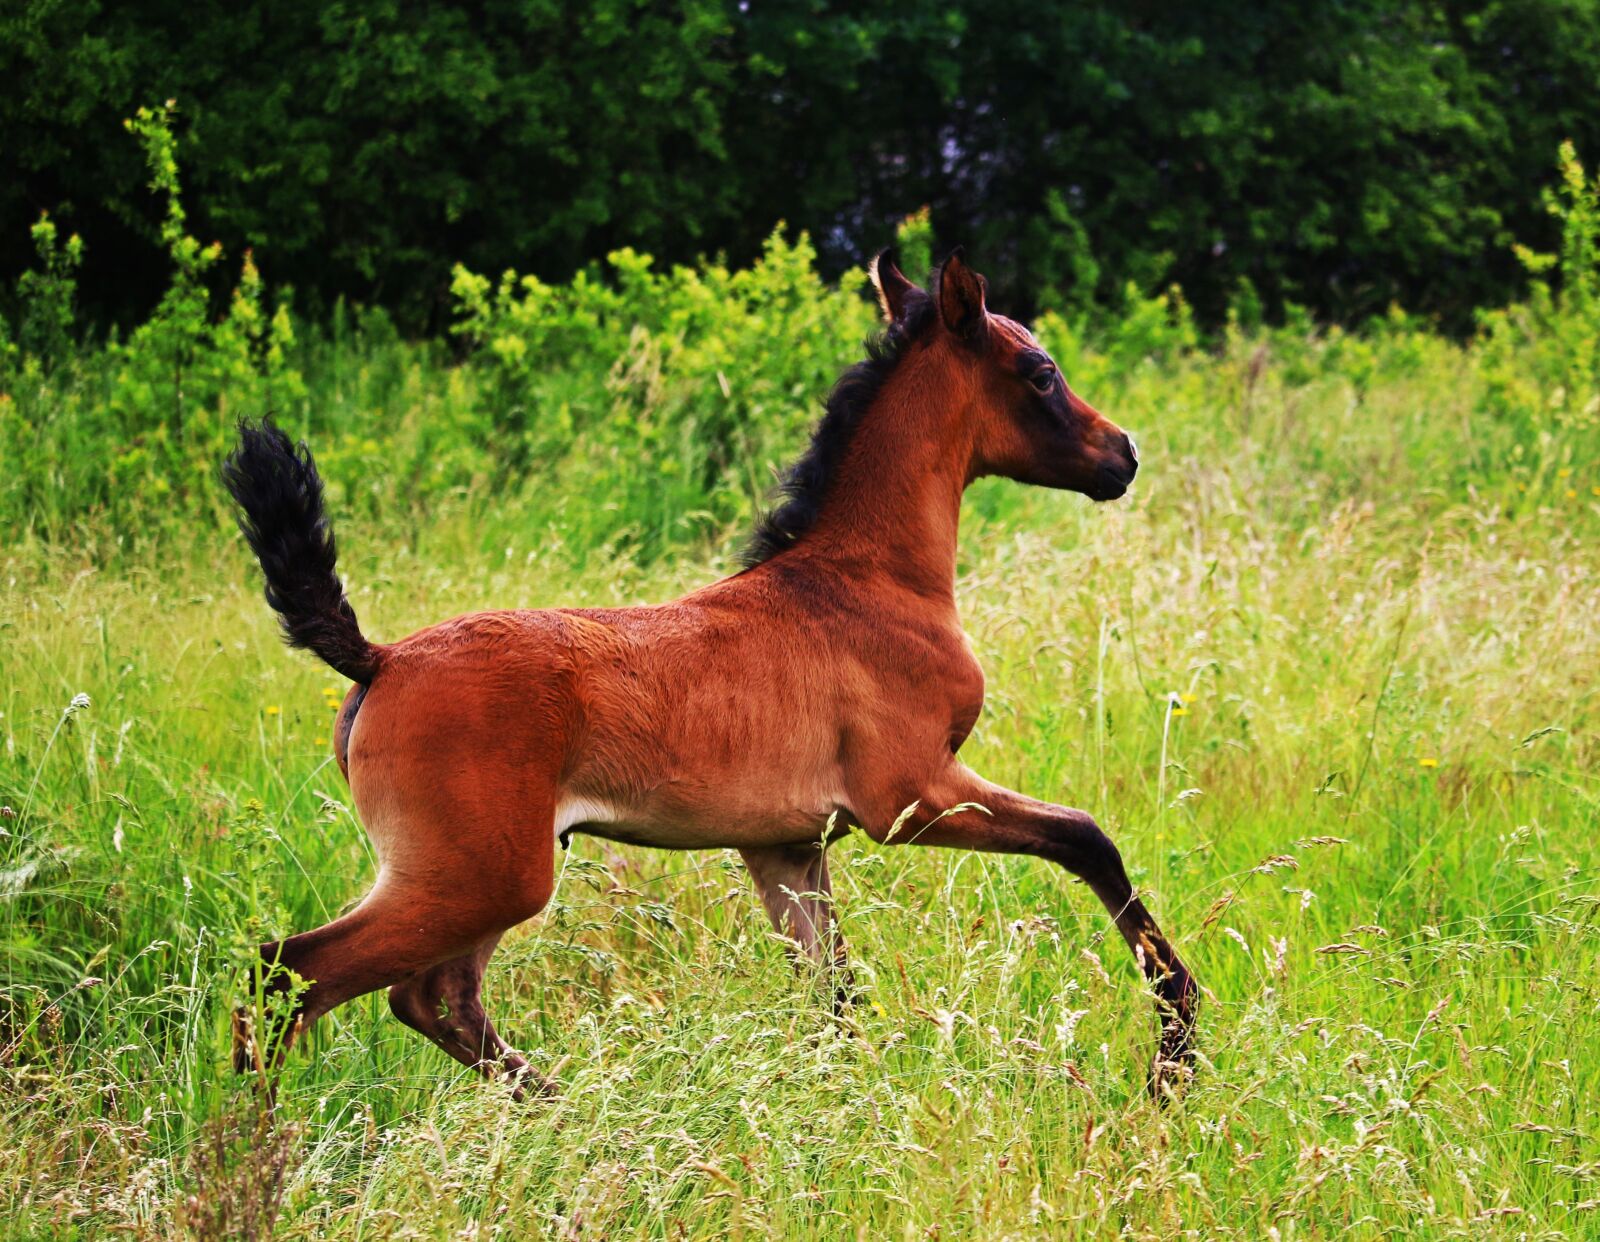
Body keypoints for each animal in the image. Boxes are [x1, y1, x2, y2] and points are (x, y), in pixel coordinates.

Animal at [223, 250, 1197, 1098]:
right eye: (1040, 372)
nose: (1125, 455)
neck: (865, 580)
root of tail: (379, 659)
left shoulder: (788, 846)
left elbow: (835, 993)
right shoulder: (911, 794)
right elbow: (1087, 839)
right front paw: (1175, 1048)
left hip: (484, 876)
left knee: (434, 999)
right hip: (476, 878)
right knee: (291, 976)